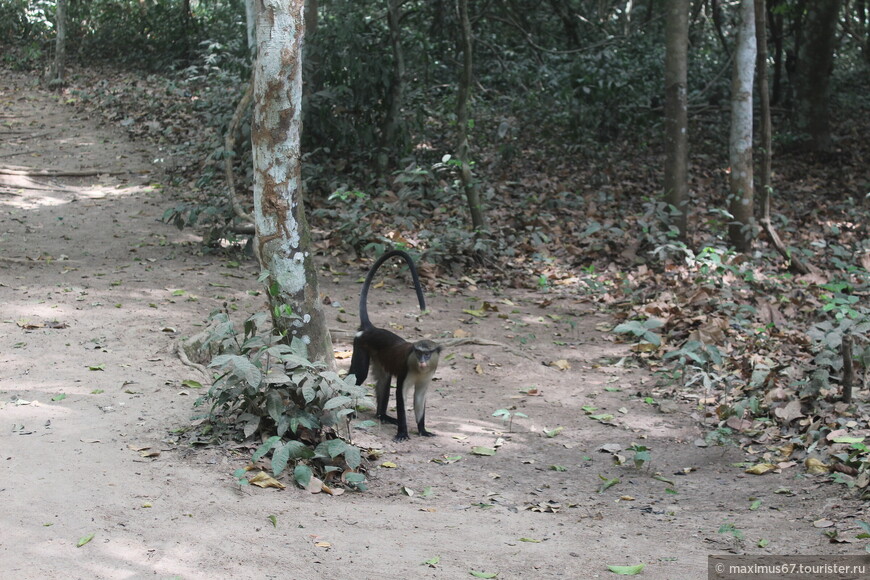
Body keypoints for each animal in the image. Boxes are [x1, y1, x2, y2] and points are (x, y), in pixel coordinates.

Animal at [348, 247, 442, 442]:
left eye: (427, 354)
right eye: (418, 353)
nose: (422, 361)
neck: (419, 369)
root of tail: (369, 329)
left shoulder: (428, 375)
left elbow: (419, 397)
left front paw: (422, 429)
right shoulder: (405, 371)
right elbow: (401, 396)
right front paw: (403, 432)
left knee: (384, 380)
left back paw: (382, 415)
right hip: (360, 347)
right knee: (358, 375)